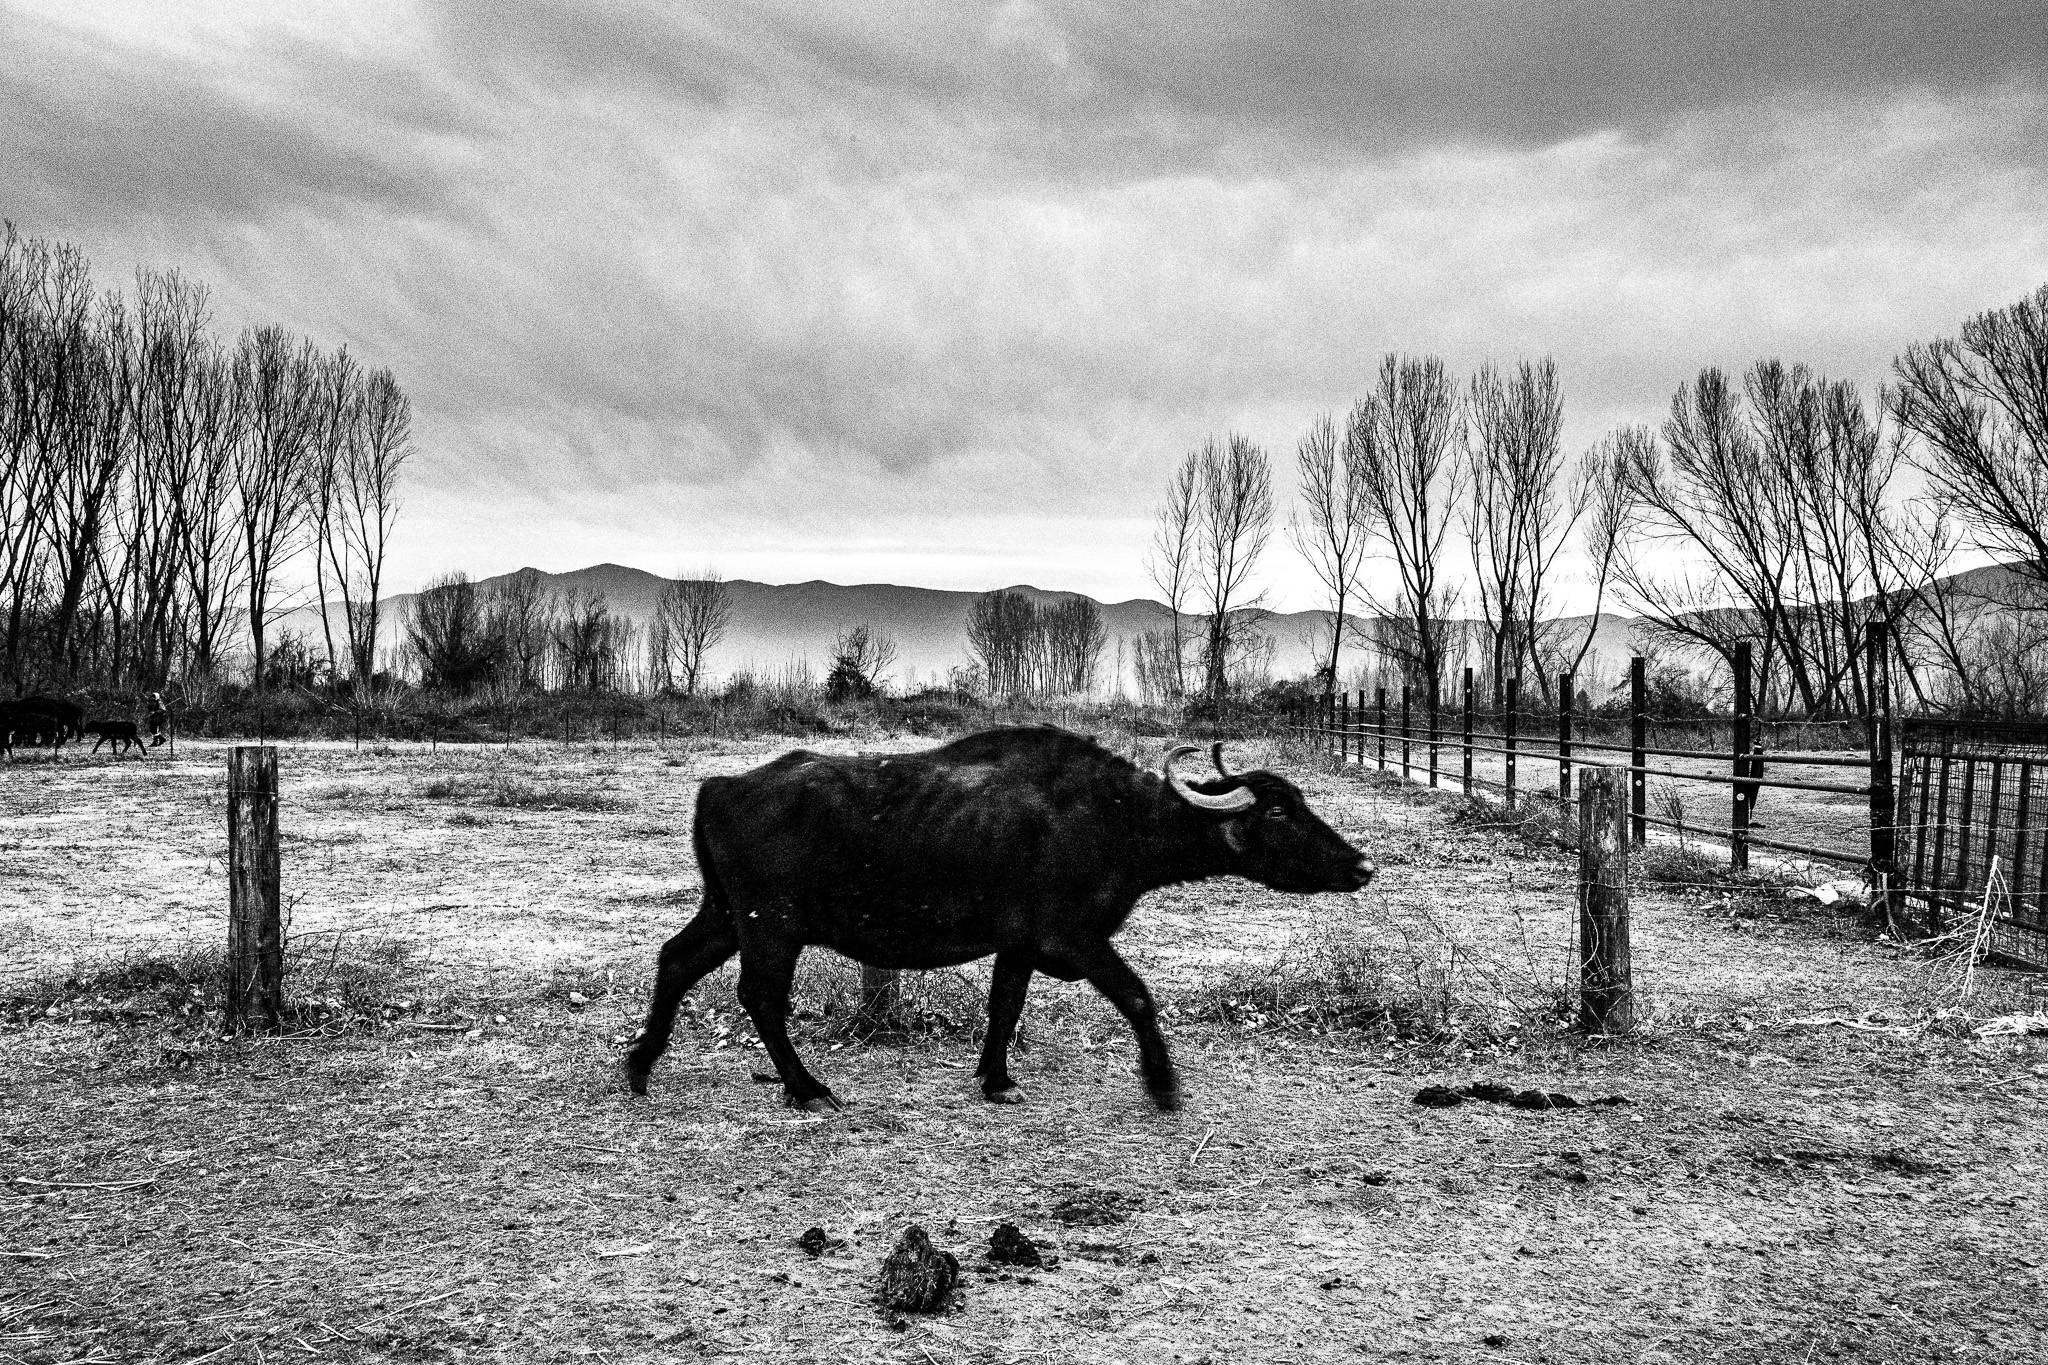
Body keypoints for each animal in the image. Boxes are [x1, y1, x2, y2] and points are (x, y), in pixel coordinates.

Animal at [625, 726, 1374, 1112]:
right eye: (1277, 810)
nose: (1361, 865)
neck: (1110, 818)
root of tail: (721, 786)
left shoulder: (1018, 946)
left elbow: (1005, 1006)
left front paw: (996, 1079)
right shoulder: (1074, 937)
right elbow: (1137, 995)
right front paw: (1163, 1085)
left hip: (727, 915)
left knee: (676, 960)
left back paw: (639, 1066)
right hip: (770, 926)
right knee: (759, 996)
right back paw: (808, 1088)